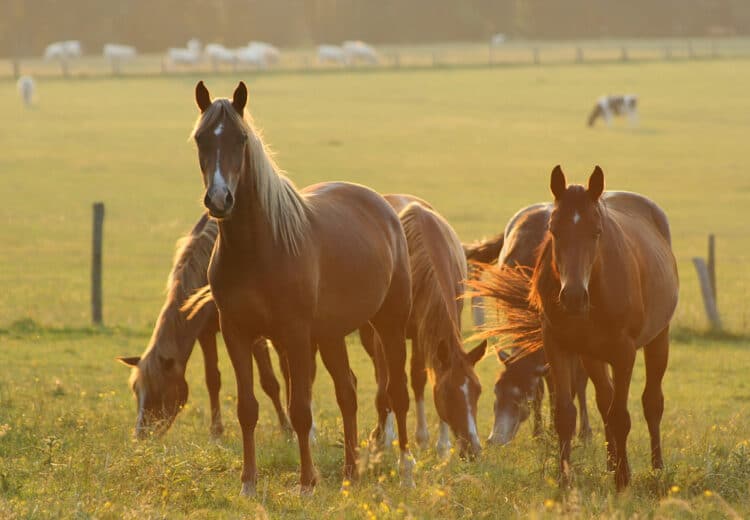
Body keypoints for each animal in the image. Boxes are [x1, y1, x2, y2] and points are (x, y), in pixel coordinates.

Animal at [118, 214, 294, 438]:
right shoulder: (205, 333)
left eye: (158, 391)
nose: (140, 435)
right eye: (136, 391)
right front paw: (216, 432)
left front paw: (287, 430)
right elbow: (213, 380)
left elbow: (269, 382)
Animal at [188, 81, 412, 496]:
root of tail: (384, 208)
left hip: (389, 324)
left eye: (242, 138)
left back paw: (406, 471)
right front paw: (248, 483)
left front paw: (307, 482)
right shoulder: (236, 333)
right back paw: (350, 472)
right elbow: (248, 408)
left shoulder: (294, 334)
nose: (220, 199)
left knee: (398, 394)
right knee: (348, 392)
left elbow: (300, 410)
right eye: (200, 138)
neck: (258, 249)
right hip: (331, 334)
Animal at [464, 205, 592, 444]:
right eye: (496, 391)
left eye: (523, 397)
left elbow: (573, 381)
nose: (495, 438)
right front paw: (540, 433)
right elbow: (546, 384)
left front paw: (578, 432)